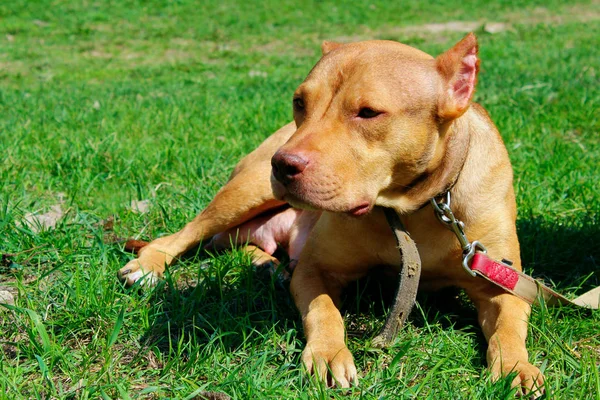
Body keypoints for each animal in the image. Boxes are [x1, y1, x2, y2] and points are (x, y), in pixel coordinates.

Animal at [117, 33, 544, 394]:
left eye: (368, 113)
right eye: (299, 102)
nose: (282, 164)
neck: (412, 210)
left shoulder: (502, 284)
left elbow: (507, 329)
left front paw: (516, 368)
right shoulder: (316, 269)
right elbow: (324, 311)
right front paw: (328, 354)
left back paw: (266, 264)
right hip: (245, 192)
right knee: (184, 235)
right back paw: (149, 265)